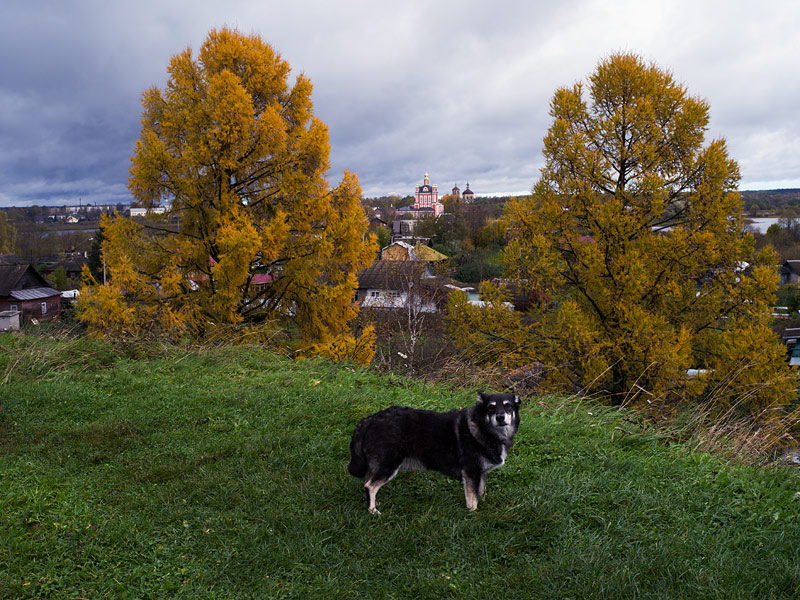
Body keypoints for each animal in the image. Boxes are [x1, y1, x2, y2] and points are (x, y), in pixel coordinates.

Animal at [346, 392, 520, 512]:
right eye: (491, 407)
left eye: (508, 406)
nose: (500, 417)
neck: (483, 428)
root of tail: (371, 419)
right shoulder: (471, 472)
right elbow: (473, 499)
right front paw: (473, 514)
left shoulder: (481, 473)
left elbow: (481, 492)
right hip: (388, 466)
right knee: (370, 486)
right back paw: (373, 511)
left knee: (368, 483)